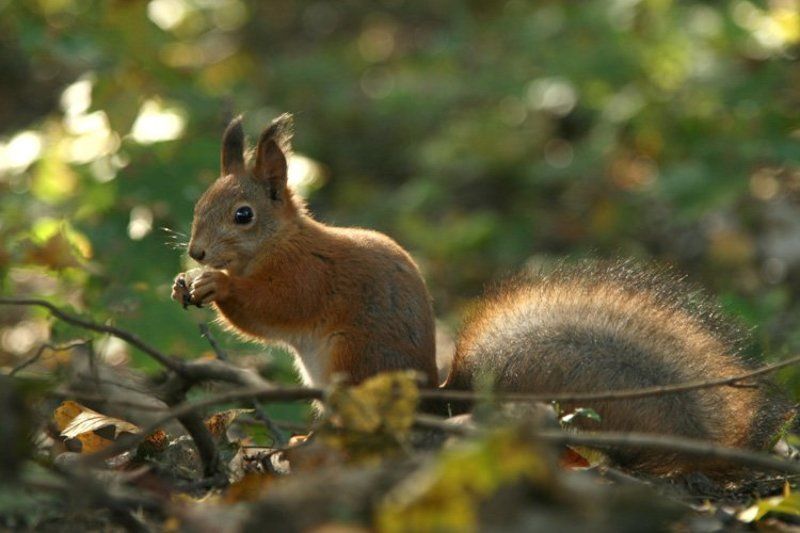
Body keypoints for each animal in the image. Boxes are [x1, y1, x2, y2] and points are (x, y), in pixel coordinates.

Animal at [173, 112, 792, 474]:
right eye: (199, 203)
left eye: (243, 215)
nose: (197, 253)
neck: (283, 242)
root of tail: (432, 399)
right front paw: (186, 283)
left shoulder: (308, 277)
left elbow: (270, 309)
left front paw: (215, 285)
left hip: (354, 362)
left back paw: (302, 448)